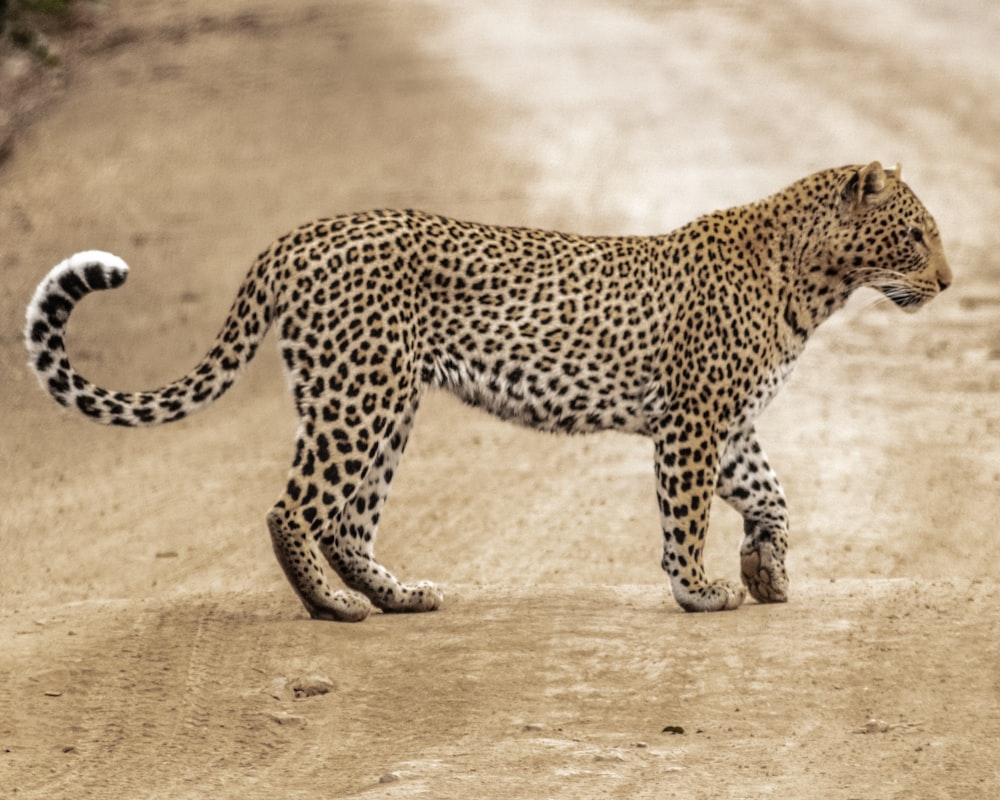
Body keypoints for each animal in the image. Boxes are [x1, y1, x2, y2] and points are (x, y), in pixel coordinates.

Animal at [23, 162, 948, 620]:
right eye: (914, 235)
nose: (947, 281)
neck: (818, 282)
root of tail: (298, 235)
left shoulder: (730, 423)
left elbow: (774, 495)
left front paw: (767, 573)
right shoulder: (693, 421)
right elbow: (686, 515)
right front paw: (699, 590)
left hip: (384, 400)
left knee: (348, 520)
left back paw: (397, 597)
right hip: (358, 396)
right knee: (293, 509)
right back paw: (334, 608)